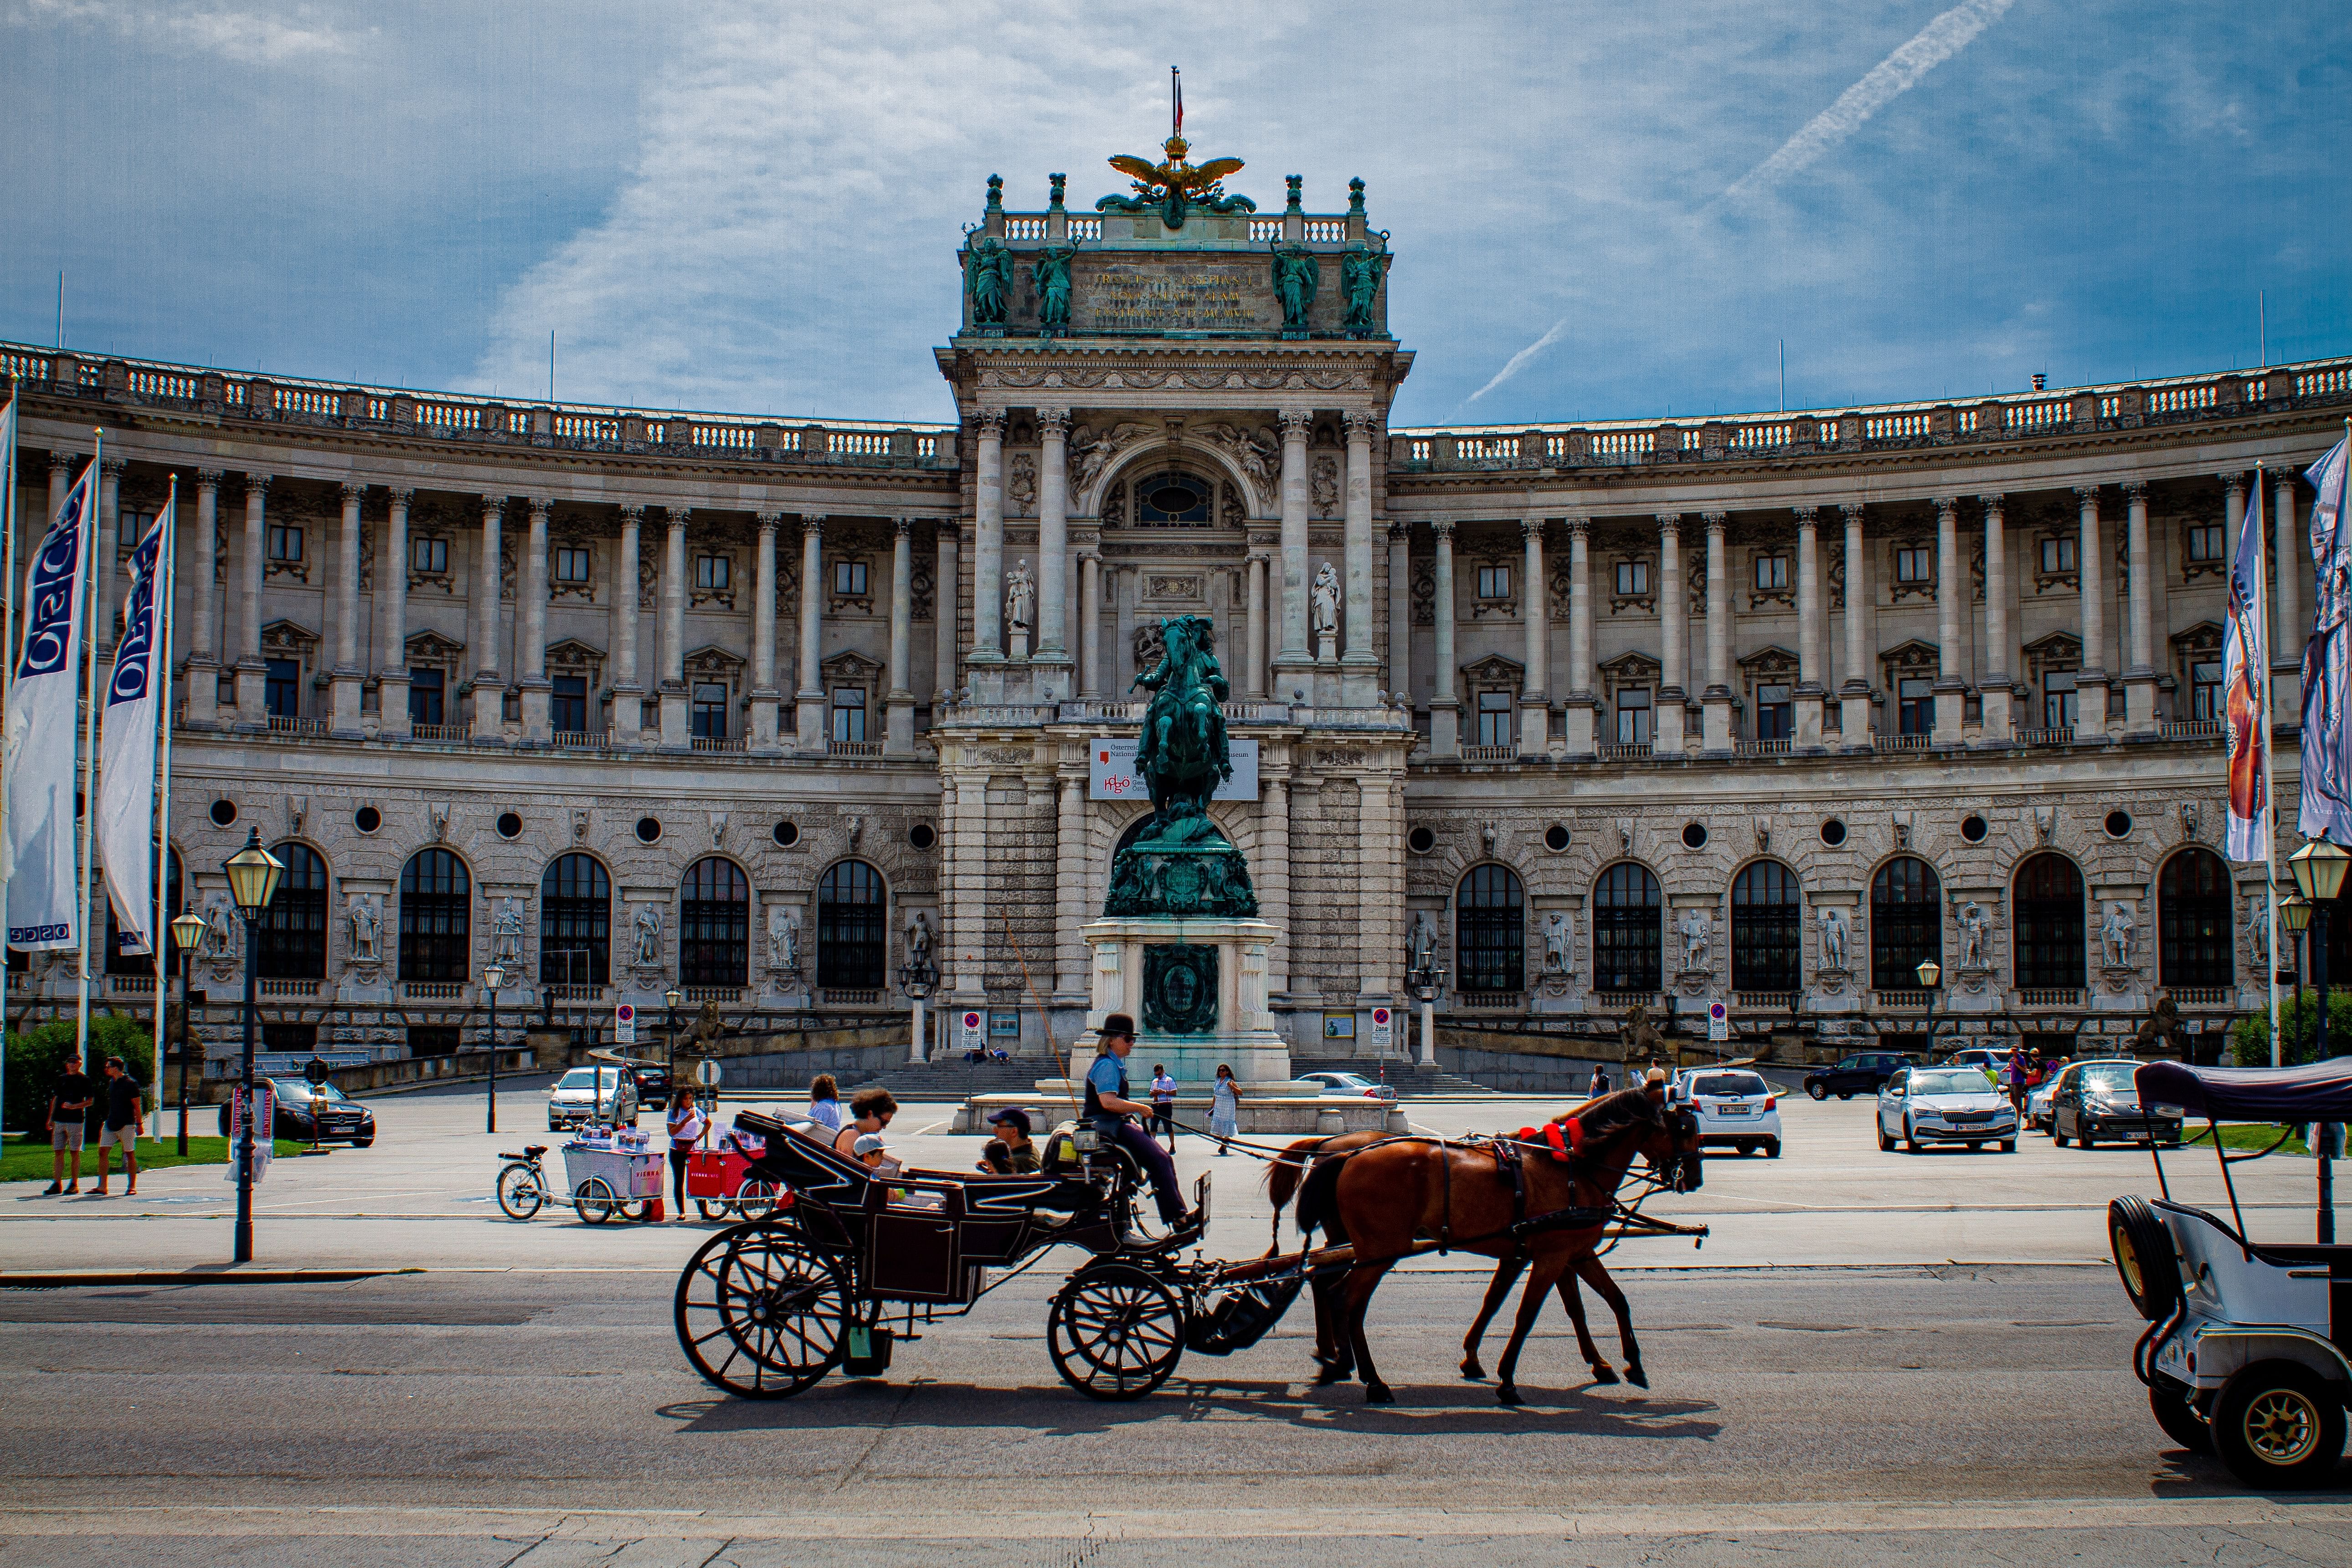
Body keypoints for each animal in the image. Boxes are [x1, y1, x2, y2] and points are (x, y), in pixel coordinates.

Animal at [1289, 1090, 1693, 1410]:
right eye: (1683, 1128)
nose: (1692, 1177)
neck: (1570, 1167)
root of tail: (1346, 1153)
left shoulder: (1564, 1252)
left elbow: (1607, 1301)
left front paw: (1628, 1365)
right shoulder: (1551, 1256)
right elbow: (1526, 1315)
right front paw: (1507, 1381)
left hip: (1363, 1246)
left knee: (1330, 1289)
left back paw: (1338, 1362)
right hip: (1380, 1248)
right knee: (1345, 1299)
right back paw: (1369, 1379)